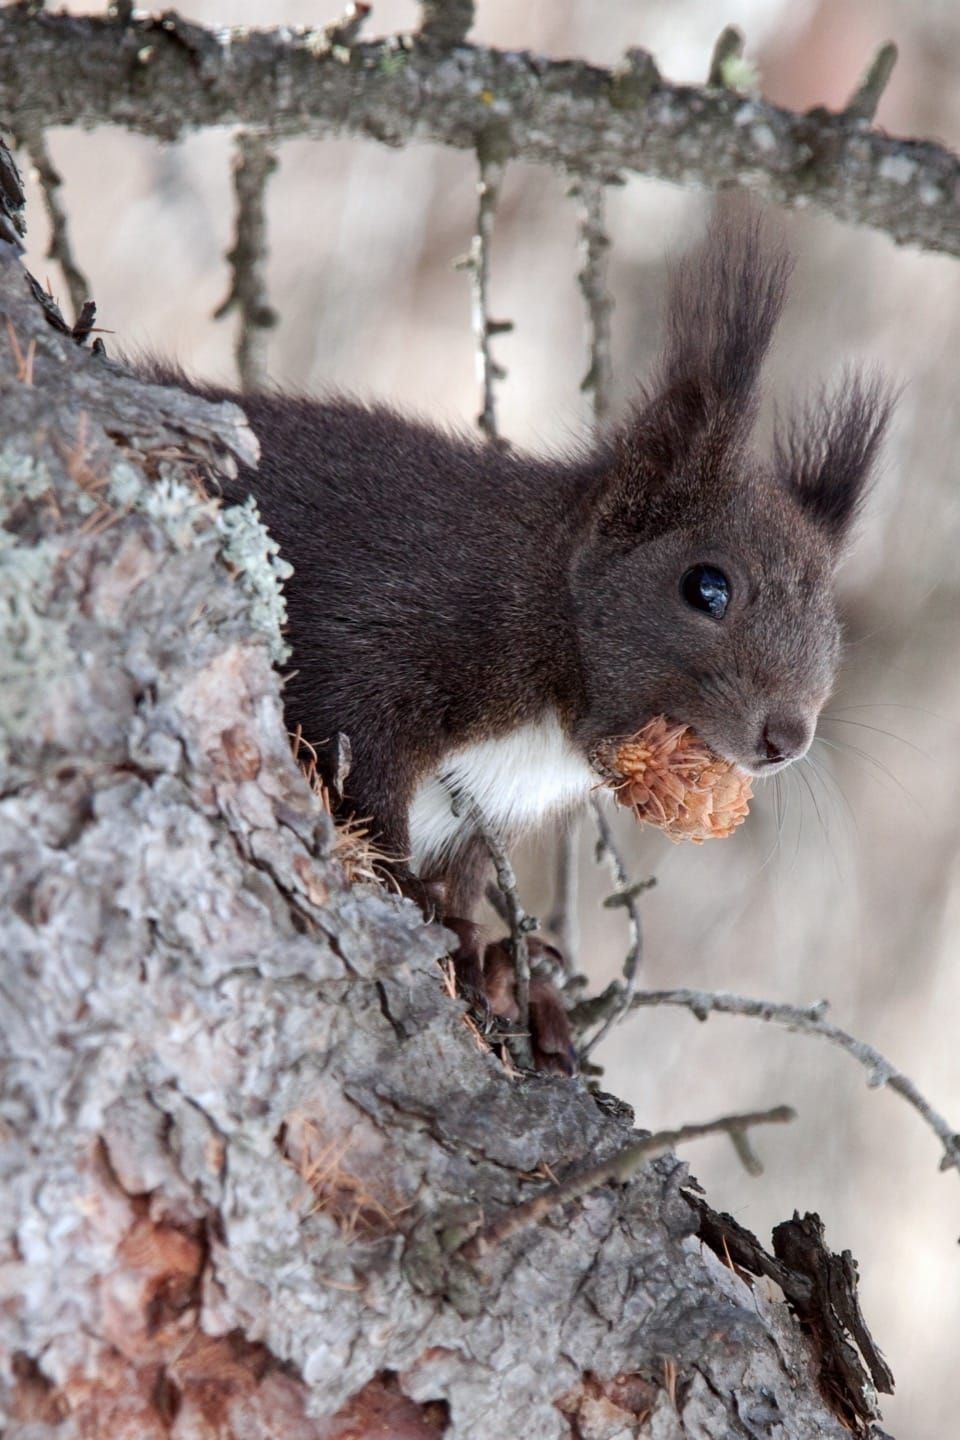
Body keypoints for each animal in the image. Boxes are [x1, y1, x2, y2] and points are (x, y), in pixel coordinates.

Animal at [141, 213, 892, 1071]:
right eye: (707, 587)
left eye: (832, 624)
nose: (787, 740)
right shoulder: (380, 621)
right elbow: (354, 754)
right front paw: (427, 910)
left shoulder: (479, 814)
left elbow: (464, 872)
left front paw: (504, 969)